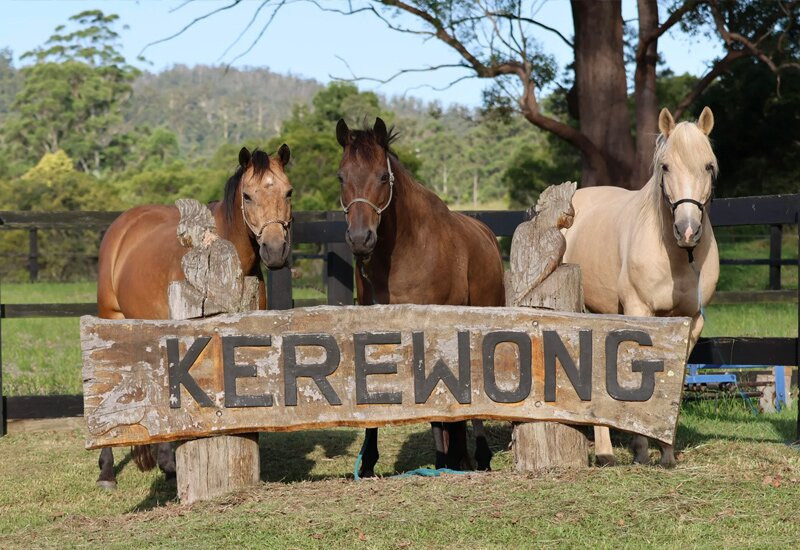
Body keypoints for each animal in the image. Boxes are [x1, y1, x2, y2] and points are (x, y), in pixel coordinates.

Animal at [94, 144, 293, 489]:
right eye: (248, 195)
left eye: (288, 192)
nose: (275, 249)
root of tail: (124, 224)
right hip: (111, 319)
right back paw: (109, 470)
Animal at [336, 117, 505, 477]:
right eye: (341, 176)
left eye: (382, 176)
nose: (360, 239)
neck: (405, 250)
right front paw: (368, 462)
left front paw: (445, 458)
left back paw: (479, 456)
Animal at [563, 107, 719, 467]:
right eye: (665, 166)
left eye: (709, 165)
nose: (687, 231)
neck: (678, 258)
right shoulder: (639, 312)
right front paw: (641, 449)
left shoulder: (691, 322)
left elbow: (671, 379)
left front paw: (666, 452)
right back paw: (604, 451)